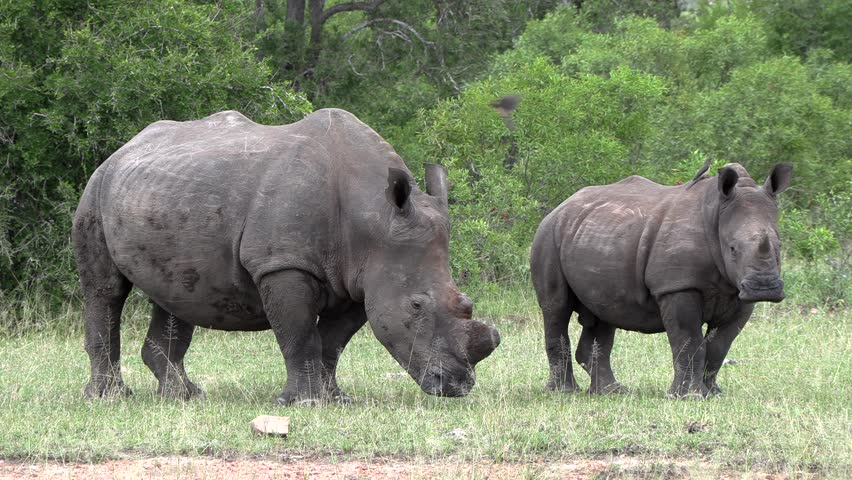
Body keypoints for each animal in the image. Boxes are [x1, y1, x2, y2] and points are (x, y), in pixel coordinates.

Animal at [73, 109, 500, 404]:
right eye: (415, 306)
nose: (457, 385)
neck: (374, 217)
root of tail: (123, 149)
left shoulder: (360, 278)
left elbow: (332, 343)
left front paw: (336, 398)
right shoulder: (282, 264)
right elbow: (299, 334)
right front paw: (305, 402)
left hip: (159, 195)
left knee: (175, 293)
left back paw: (184, 395)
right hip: (95, 190)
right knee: (105, 290)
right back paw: (109, 398)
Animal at [530, 162, 792, 398]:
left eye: (779, 246)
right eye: (732, 248)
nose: (764, 288)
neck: (717, 214)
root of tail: (559, 207)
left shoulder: (738, 294)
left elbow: (719, 345)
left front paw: (713, 394)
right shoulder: (677, 286)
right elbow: (688, 340)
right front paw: (688, 397)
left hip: (593, 235)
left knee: (603, 312)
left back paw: (611, 392)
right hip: (548, 236)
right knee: (556, 307)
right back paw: (564, 392)